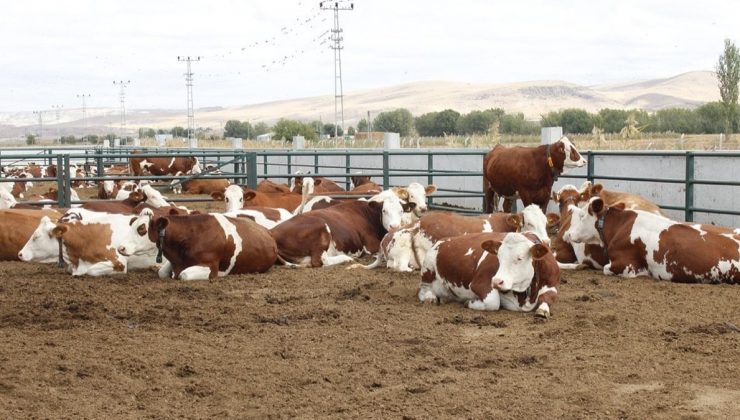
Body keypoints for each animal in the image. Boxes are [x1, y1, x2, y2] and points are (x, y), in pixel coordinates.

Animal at [118, 212, 280, 280]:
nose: (121, 248)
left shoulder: (210, 267)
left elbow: (183, 275)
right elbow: (162, 272)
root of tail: (268, 231)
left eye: (142, 229)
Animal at [420, 231, 556, 316]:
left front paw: (543, 310)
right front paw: (470, 302)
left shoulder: (552, 284)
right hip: (428, 267)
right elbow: (493, 302)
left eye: (520, 258)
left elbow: (547, 297)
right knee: (423, 289)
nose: (496, 281)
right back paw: (430, 297)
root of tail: (443, 240)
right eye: (498, 257)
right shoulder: (479, 282)